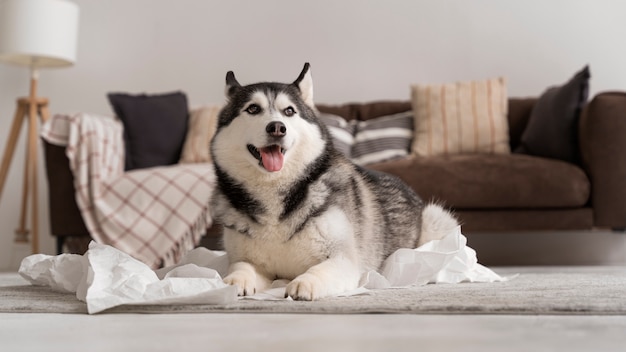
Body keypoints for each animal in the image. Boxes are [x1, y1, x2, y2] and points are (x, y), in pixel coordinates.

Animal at [212, 62, 456, 300]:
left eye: (289, 111)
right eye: (253, 109)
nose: (277, 127)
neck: (275, 190)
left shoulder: (344, 259)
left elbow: (320, 269)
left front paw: (305, 283)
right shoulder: (248, 259)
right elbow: (241, 266)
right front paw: (233, 281)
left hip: (434, 218)